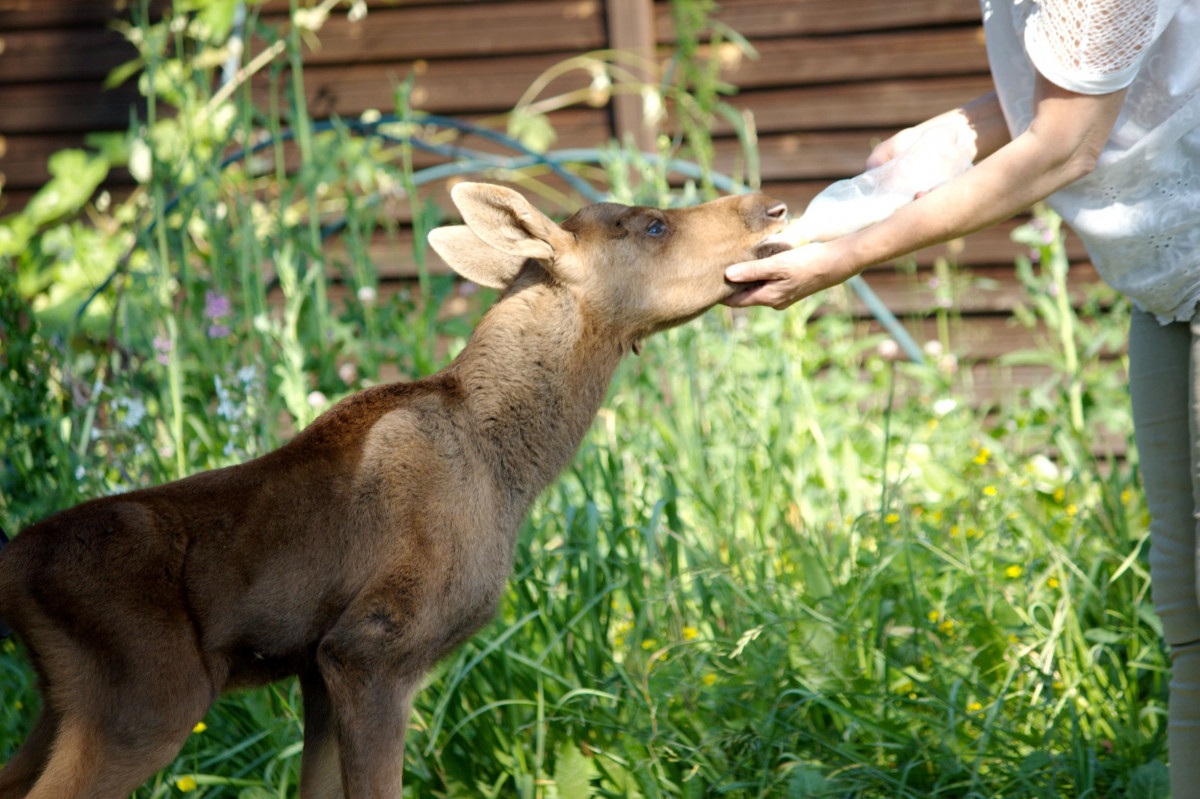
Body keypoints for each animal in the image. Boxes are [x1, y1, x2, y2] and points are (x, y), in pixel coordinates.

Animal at [0, 182, 787, 796]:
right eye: (653, 223)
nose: (770, 205)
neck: (516, 467)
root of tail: (13, 566)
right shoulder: (370, 650)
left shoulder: (316, 673)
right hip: (147, 699)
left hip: (64, 704)